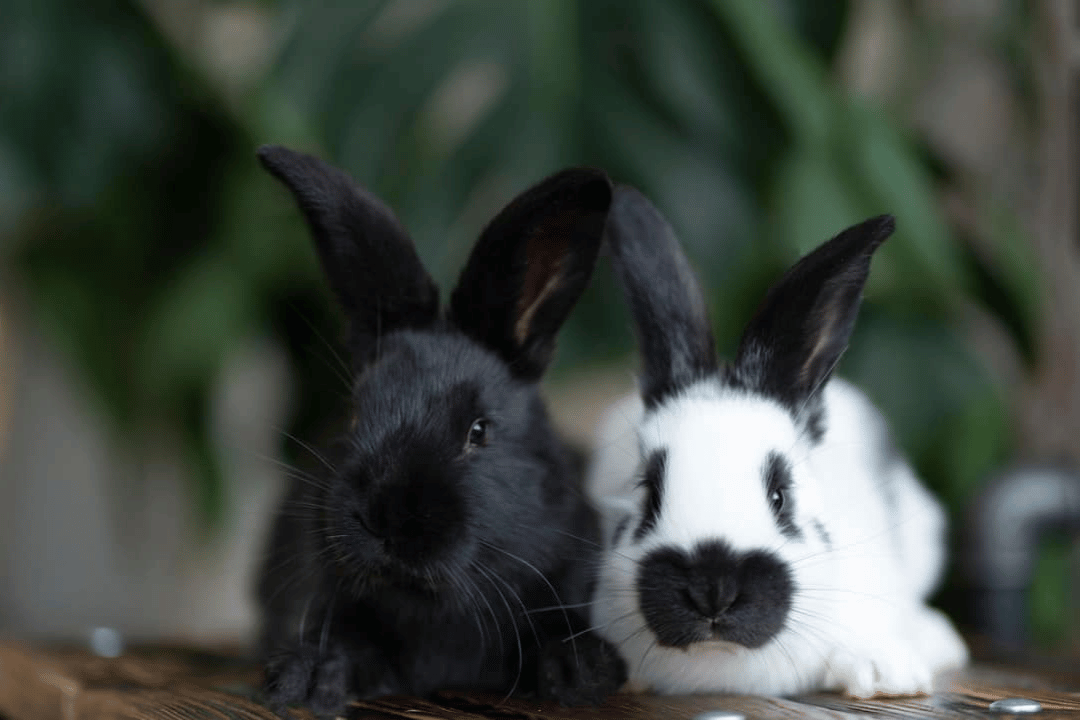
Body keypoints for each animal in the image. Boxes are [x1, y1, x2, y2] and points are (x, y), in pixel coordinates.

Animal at [254, 145, 626, 716]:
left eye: (479, 430)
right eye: (355, 414)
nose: (386, 517)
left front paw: (579, 671)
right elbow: (345, 642)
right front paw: (309, 677)